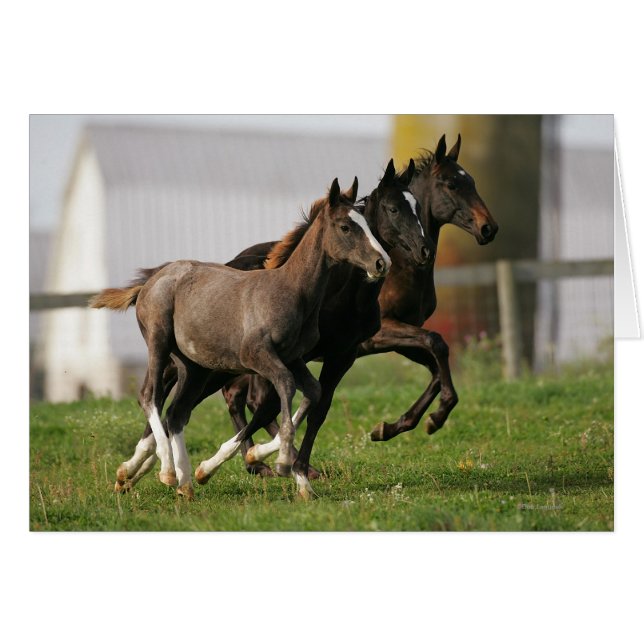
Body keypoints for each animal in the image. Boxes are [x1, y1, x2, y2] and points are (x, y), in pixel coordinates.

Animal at [106, 159, 432, 498]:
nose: (382, 263)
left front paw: (294, 476)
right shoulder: (258, 356)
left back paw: (182, 482)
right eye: (346, 226)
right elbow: (284, 392)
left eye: (367, 223)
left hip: (195, 365)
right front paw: (282, 461)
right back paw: (162, 470)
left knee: (177, 412)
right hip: (162, 344)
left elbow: (312, 395)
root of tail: (153, 279)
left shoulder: (301, 357)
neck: (293, 290)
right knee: (151, 396)